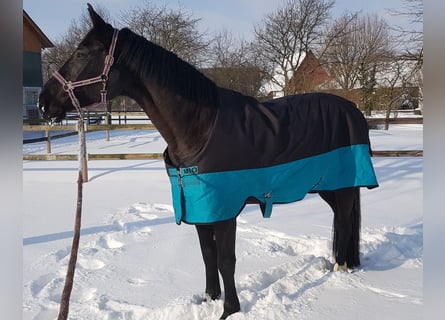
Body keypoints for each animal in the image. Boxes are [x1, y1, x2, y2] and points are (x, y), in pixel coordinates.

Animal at [39, 4, 378, 318]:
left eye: (83, 52)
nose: (44, 102)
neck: (198, 127)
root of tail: (353, 110)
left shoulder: (225, 209)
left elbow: (226, 260)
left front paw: (230, 310)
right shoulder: (200, 206)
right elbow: (207, 255)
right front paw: (209, 300)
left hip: (343, 187)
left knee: (344, 222)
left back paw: (341, 270)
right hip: (328, 188)